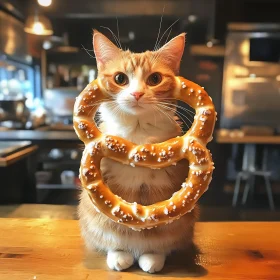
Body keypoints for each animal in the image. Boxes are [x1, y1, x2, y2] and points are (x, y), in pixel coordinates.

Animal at [77, 30, 198, 274]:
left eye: (155, 79)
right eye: (120, 79)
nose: (137, 94)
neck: (138, 132)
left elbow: (161, 231)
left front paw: (152, 255)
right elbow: (113, 226)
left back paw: (151, 257)